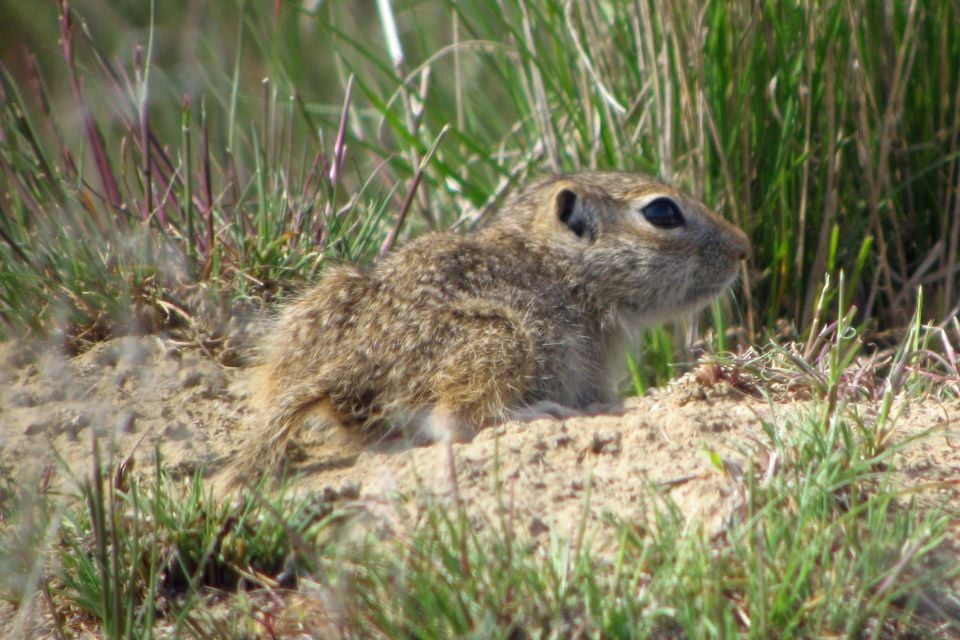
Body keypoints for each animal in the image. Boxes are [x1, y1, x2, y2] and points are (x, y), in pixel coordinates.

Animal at [226, 171, 750, 483]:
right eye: (662, 212)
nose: (743, 248)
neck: (565, 265)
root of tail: (349, 368)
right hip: (501, 337)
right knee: (455, 421)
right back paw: (537, 414)